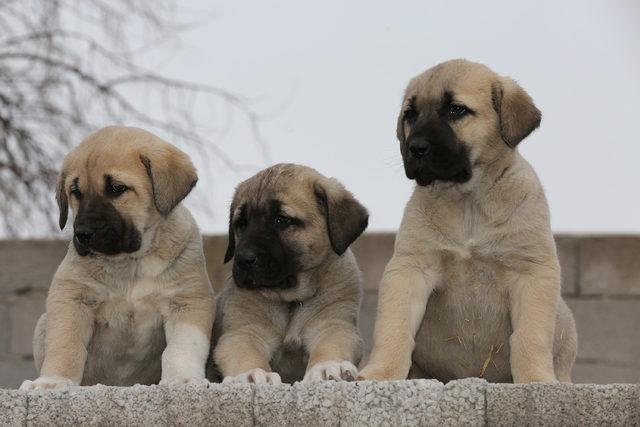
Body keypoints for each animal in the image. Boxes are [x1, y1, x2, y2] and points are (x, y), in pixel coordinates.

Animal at [19, 125, 215, 390]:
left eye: (117, 188)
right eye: (76, 192)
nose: (83, 234)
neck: (132, 263)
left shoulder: (187, 302)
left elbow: (182, 348)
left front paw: (182, 378)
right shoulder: (72, 298)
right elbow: (66, 345)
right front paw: (52, 381)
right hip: (43, 322)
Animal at [211, 164, 368, 384]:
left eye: (281, 220)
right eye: (241, 223)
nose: (243, 259)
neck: (291, 299)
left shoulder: (334, 324)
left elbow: (330, 345)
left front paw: (328, 366)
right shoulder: (244, 332)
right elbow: (245, 354)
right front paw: (250, 374)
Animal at [358, 60, 576, 384]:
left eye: (456, 110)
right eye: (411, 114)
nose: (415, 148)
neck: (468, 200)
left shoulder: (532, 271)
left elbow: (530, 335)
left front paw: (536, 380)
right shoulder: (410, 268)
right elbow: (393, 327)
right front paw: (381, 373)